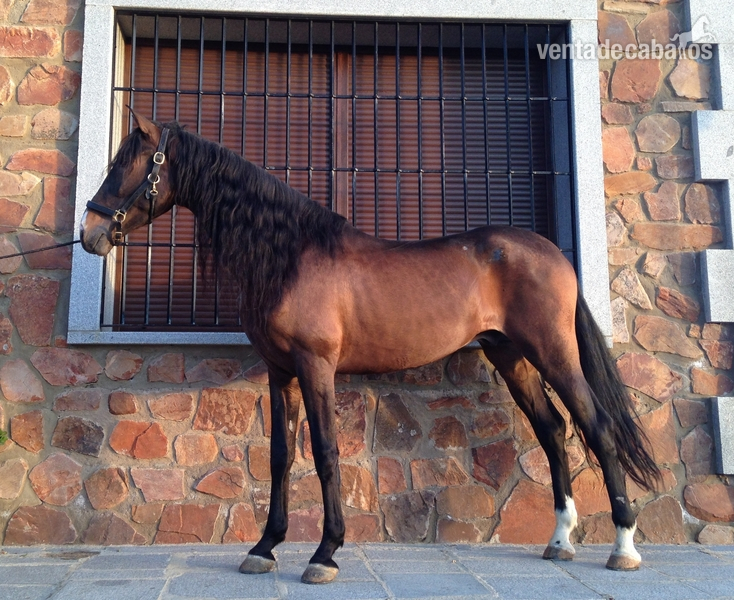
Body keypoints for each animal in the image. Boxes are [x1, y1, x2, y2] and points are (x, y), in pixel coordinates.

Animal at [80, 111, 660, 584]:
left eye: (127, 165)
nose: (89, 232)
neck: (292, 255)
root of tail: (553, 254)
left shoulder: (316, 366)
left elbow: (325, 452)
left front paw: (325, 553)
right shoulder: (279, 371)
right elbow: (279, 455)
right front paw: (265, 547)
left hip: (552, 352)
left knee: (597, 426)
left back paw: (624, 547)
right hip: (510, 356)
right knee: (553, 429)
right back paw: (559, 541)